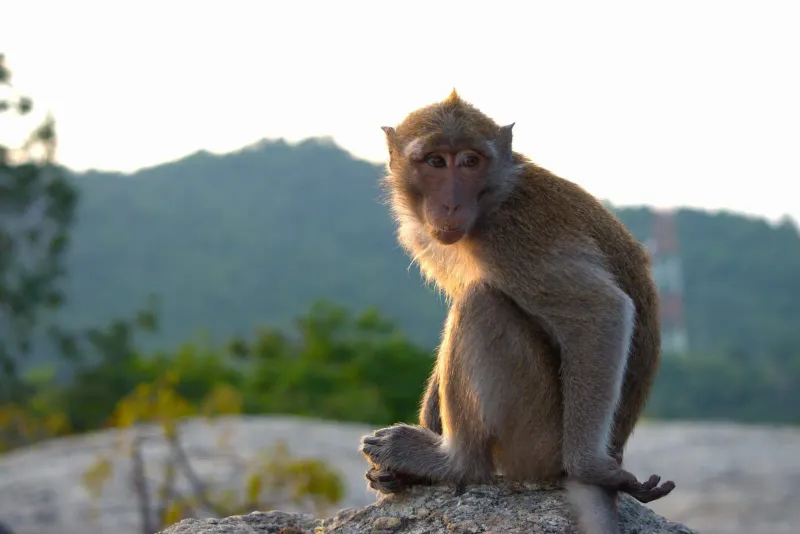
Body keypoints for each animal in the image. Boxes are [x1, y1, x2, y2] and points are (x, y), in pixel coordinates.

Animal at [359, 90, 675, 534]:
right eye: (435, 161)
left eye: (470, 161)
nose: (451, 204)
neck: (491, 201)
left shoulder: (514, 239)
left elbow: (601, 311)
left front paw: (591, 469)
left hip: (538, 438)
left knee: (482, 303)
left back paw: (455, 462)